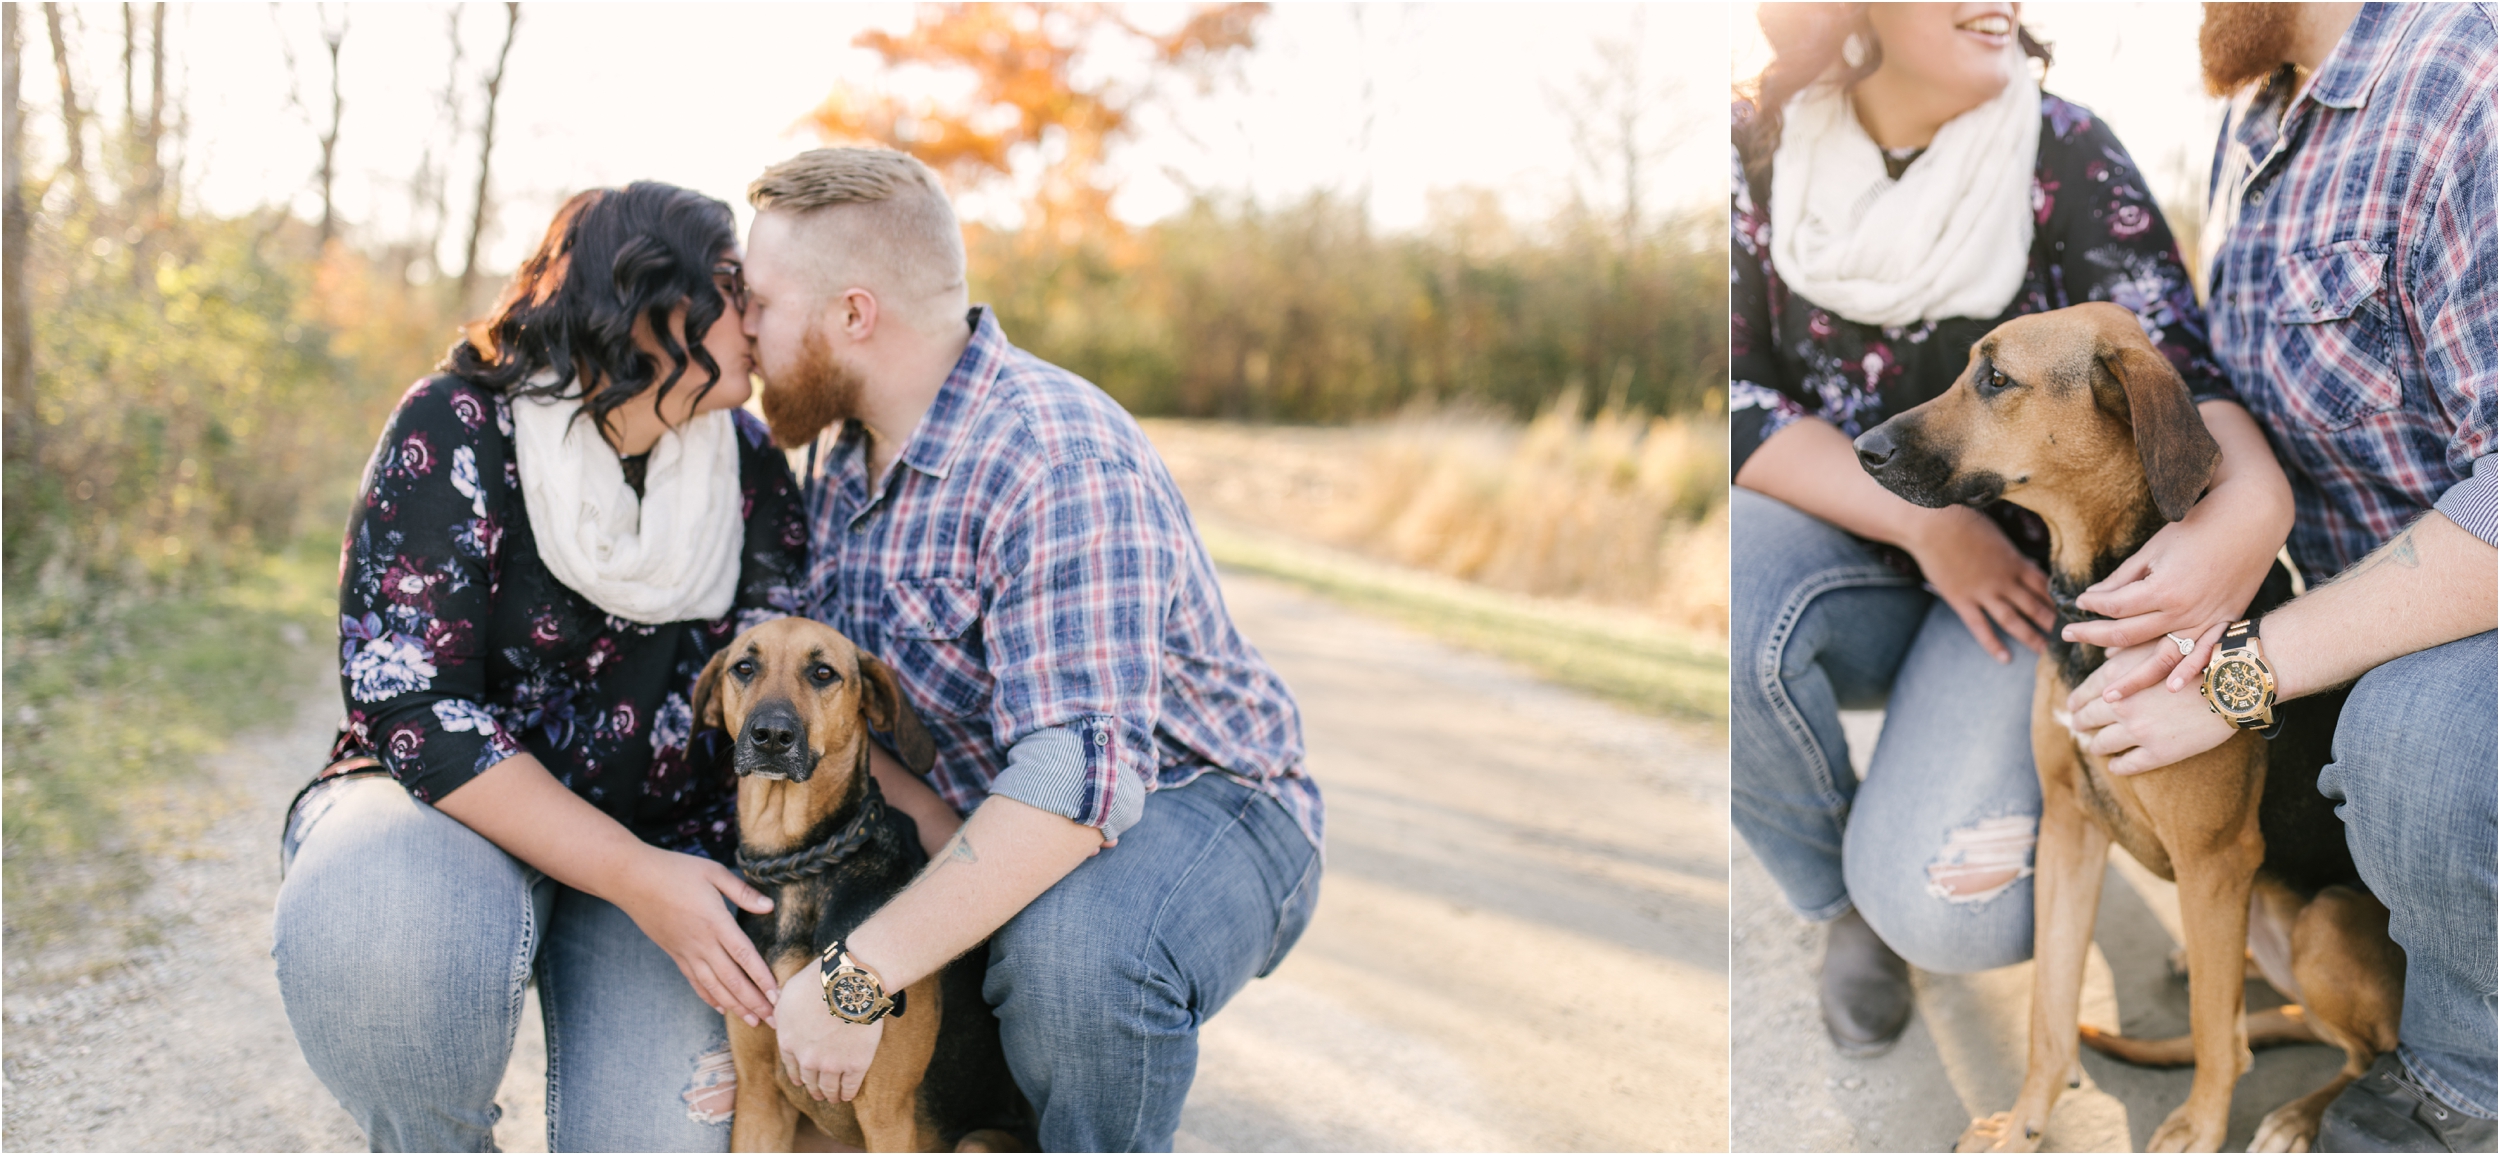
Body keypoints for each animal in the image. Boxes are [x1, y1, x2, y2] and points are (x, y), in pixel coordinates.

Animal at [695, 617, 1025, 1150]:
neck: (801, 864)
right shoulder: (758, 1098)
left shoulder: (887, 1116)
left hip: (976, 1139)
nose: (771, 736)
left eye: (823, 672)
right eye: (743, 667)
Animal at [1860, 302, 2400, 1150]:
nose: (1861, 448)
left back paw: (2298, 1114)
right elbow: (2049, 1010)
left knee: (2363, 1051)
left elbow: (2215, 1032)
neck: (2094, 584)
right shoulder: (2067, 828)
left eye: (1996, 378)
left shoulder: (2214, 861)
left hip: (2325, 921)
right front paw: (2025, 1122)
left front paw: (2197, 1128)